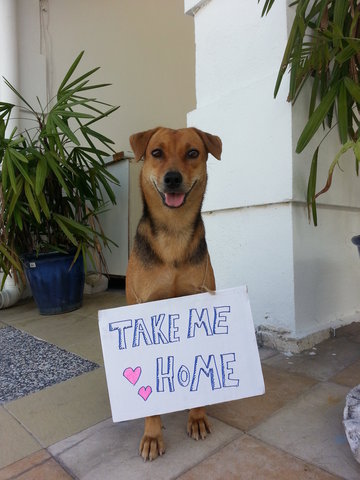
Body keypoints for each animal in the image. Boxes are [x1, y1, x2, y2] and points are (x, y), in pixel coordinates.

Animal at [126, 125, 222, 460]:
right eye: (156, 153)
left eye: (193, 153)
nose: (172, 178)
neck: (173, 234)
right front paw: (153, 435)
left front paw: (197, 417)